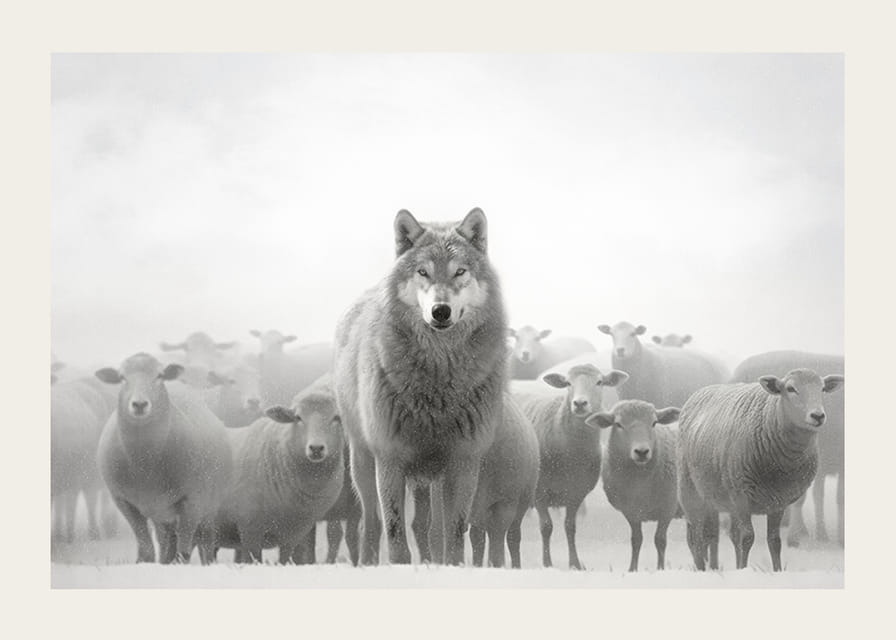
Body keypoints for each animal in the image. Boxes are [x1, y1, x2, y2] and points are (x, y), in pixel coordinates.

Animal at [95, 353, 232, 564]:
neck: (144, 464)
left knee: (206, 544)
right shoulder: (123, 501)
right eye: (122, 377)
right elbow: (146, 551)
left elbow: (183, 553)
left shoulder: (191, 501)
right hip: (162, 515)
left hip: (208, 506)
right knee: (165, 543)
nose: (139, 404)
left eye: (159, 375)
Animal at [214, 376, 345, 563]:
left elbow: (285, 560)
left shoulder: (293, 536)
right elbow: (253, 560)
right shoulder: (249, 529)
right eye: (298, 417)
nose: (316, 448)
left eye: (336, 418)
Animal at [333, 207, 508, 565]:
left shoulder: (463, 461)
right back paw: (367, 564)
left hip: (433, 479)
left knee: (431, 529)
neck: (439, 381)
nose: (440, 311)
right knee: (370, 523)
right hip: (362, 463)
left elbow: (454, 533)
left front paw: (451, 567)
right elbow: (395, 533)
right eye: (423, 272)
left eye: (459, 272)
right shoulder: (390, 458)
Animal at [515, 364, 628, 569]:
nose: (580, 403)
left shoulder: (576, 493)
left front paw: (575, 563)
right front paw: (547, 563)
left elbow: (570, 527)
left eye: (599, 382)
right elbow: (546, 526)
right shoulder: (539, 492)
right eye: (568, 383)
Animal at [585, 400, 681, 571]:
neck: (640, 483)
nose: (642, 451)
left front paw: (660, 569)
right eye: (618, 424)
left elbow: (660, 540)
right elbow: (636, 540)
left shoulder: (668, 508)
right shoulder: (631, 511)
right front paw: (632, 569)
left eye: (654, 423)